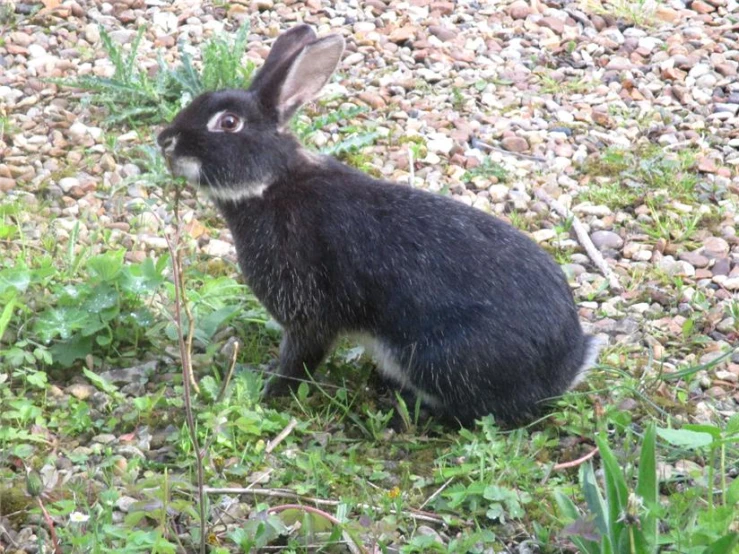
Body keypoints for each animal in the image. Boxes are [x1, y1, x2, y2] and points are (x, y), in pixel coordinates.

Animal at [158, 23, 600, 424]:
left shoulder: (307, 311)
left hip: (439, 360)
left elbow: (301, 359)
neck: (272, 184)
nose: (165, 141)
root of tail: (566, 369)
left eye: (228, 123)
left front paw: (271, 392)